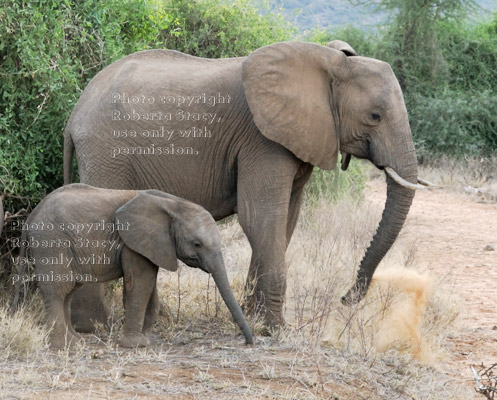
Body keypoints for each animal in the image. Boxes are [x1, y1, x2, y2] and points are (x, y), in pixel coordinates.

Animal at [17, 184, 254, 346]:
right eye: (197, 244)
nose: (248, 342)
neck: (173, 204)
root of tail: (30, 217)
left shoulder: (152, 244)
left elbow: (150, 282)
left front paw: (146, 335)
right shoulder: (132, 242)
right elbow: (140, 282)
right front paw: (137, 344)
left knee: (69, 290)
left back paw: (77, 340)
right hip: (52, 243)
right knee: (58, 289)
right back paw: (65, 345)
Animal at [64, 39, 424, 332]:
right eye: (375, 116)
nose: (345, 298)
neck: (326, 62)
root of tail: (74, 115)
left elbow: (285, 221)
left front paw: (256, 317)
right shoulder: (261, 140)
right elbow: (260, 217)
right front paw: (275, 330)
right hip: (107, 153)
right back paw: (97, 325)